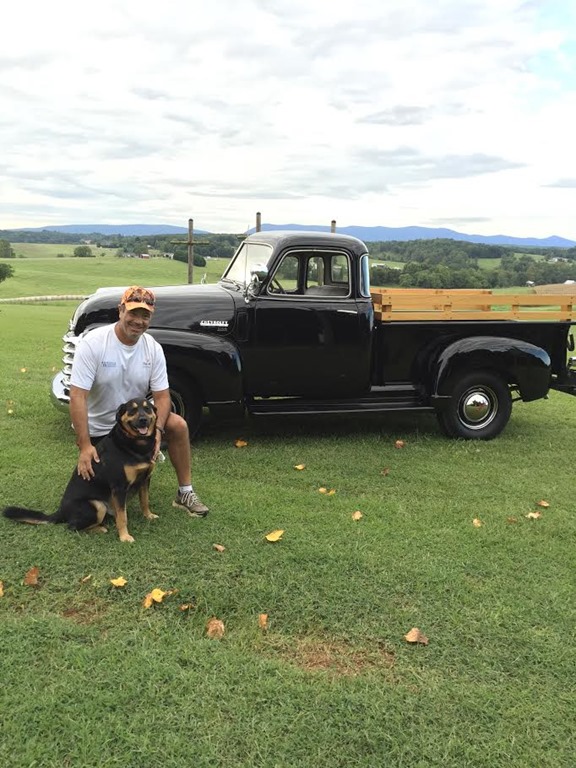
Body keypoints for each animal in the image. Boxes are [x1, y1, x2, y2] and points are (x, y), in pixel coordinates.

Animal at [3, 400, 160, 544]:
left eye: (147, 408)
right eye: (132, 411)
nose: (143, 420)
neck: (136, 445)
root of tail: (61, 511)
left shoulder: (145, 479)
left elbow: (145, 501)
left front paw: (148, 515)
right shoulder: (119, 487)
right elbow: (122, 517)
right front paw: (124, 536)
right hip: (98, 506)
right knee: (71, 526)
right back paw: (99, 528)